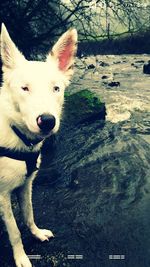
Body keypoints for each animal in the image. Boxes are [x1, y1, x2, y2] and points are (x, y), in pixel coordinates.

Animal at [0, 23, 77, 267]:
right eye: (25, 88)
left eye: (56, 89)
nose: (47, 121)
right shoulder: (3, 195)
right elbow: (14, 231)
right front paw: (21, 257)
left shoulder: (26, 184)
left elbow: (28, 214)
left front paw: (36, 233)